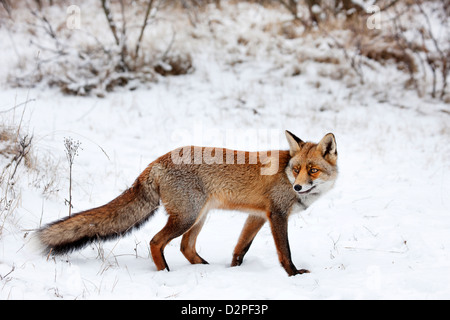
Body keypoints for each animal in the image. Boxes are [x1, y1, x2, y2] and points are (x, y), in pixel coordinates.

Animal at [36, 131, 338, 276]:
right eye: (297, 169)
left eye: (312, 170)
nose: (298, 186)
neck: (284, 173)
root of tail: (156, 162)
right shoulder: (276, 215)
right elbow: (285, 252)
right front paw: (294, 275)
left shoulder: (258, 216)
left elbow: (240, 248)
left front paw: (235, 271)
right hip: (187, 216)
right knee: (156, 242)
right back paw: (165, 273)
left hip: (198, 216)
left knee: (185, 247)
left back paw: (205, 268)